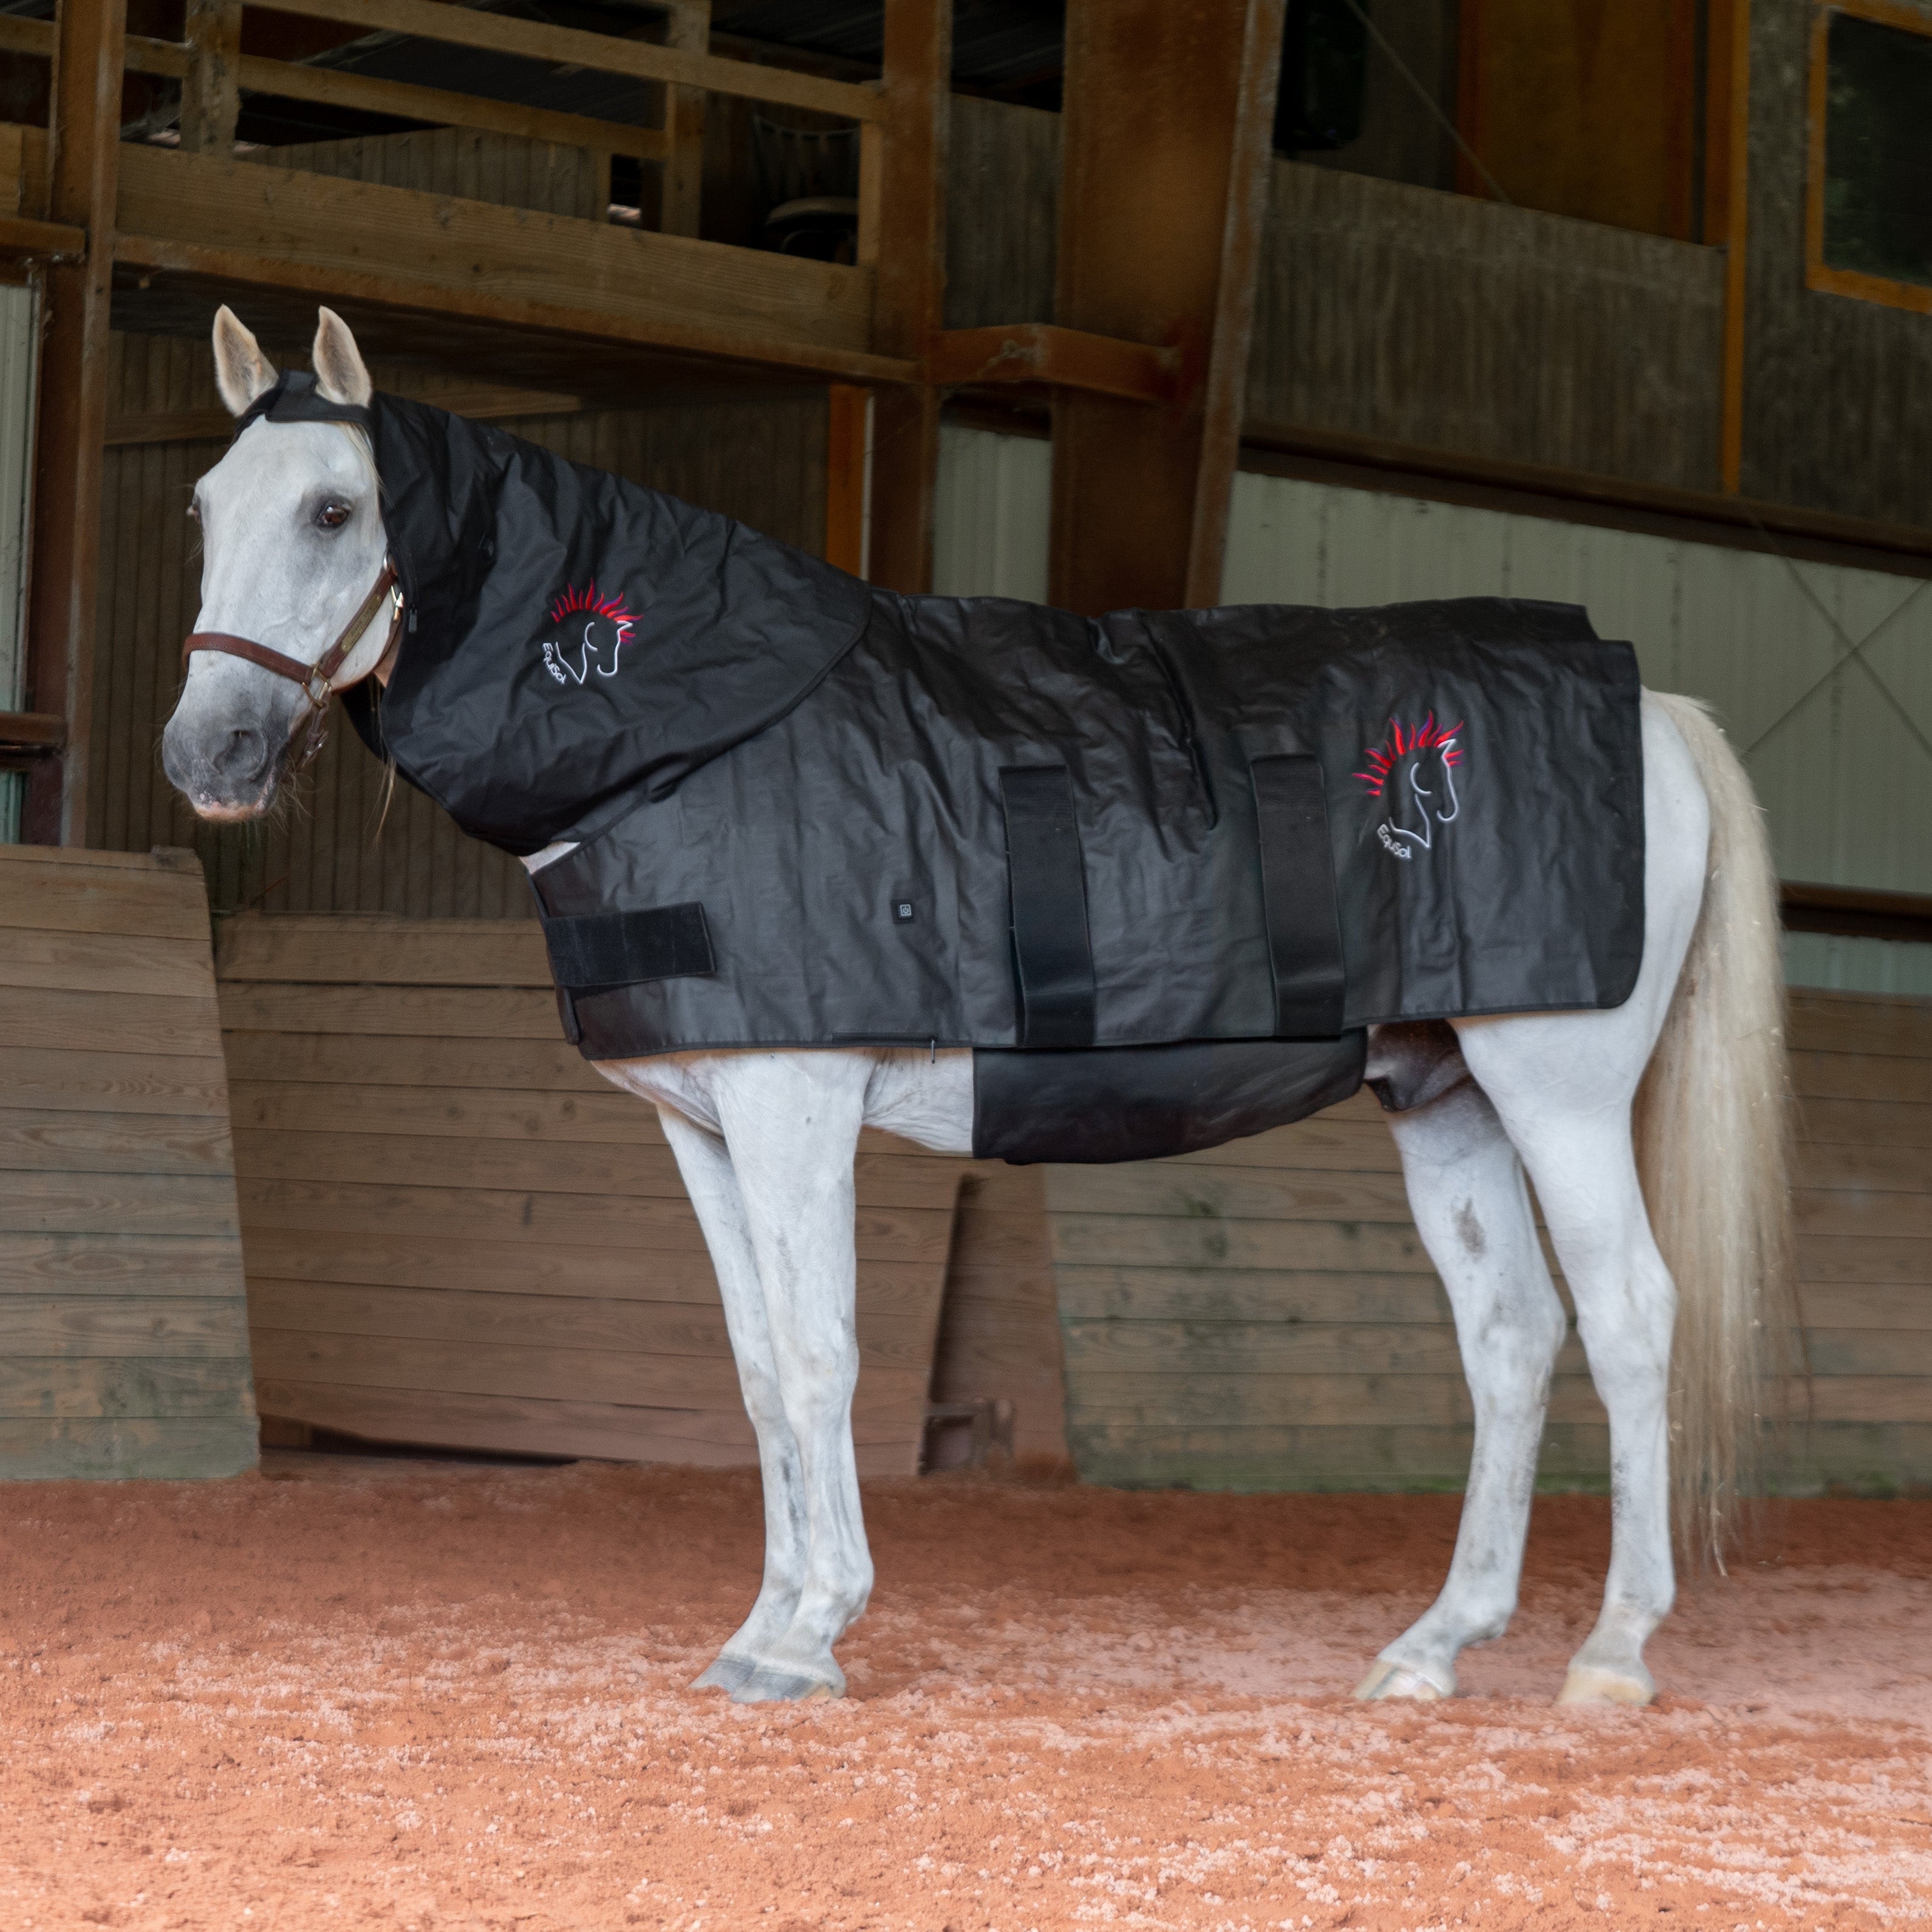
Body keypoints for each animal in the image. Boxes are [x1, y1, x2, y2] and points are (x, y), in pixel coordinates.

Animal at [162, 306, 1792, 1707]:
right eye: (202, 509)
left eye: (332, 511)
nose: (207, 756)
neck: (695, 730)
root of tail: (1649, 707)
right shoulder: (702, 1125)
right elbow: (758, 1376)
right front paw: (760, 1625)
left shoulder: (796, 1102)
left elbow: (820, 1353)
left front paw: (809, 1634)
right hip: (1442, 1095)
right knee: (1511, 1332)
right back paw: (1434, 1645)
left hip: (1557, 1092)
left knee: (1629, 1314)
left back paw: (1611, 1655)